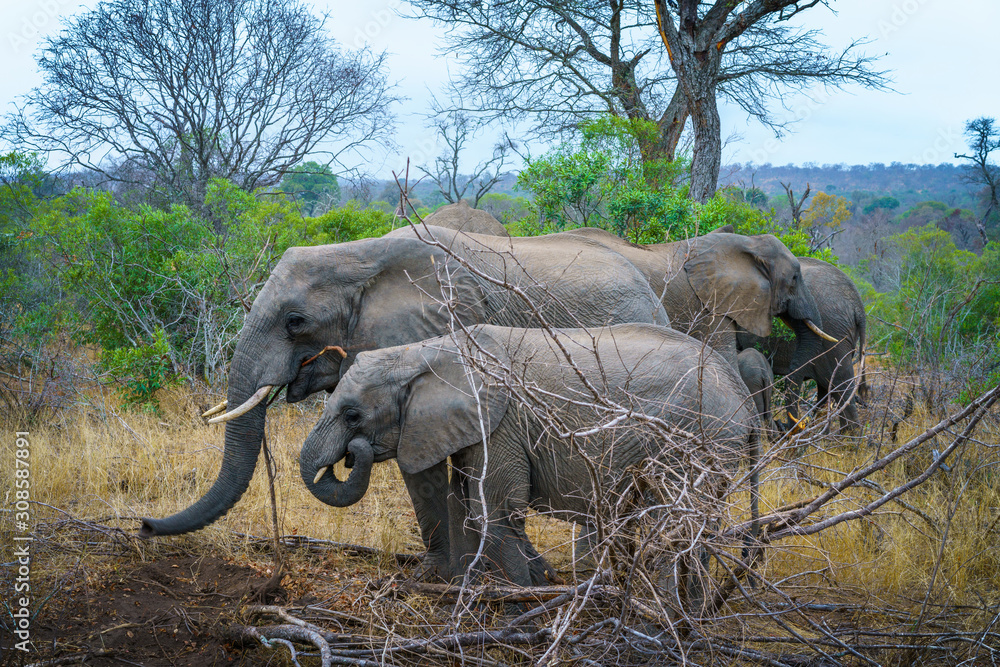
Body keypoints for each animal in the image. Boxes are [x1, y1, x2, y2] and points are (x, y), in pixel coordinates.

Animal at [139, 225, 670, 583]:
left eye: (295, 321)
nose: (143, 526)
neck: (359, 257)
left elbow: (422, 468)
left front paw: (437, 578)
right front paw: (469, 575)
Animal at [300, 323, 758, 587]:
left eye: (353, 415)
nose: (352, 453)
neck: (427, 352)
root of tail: (743, 398)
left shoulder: (501, 421)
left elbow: (495, 510)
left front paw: (517, 593)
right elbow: (464, 500)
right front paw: (475, 584)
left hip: (698, 437)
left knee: (675, 524)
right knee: (696, 529)